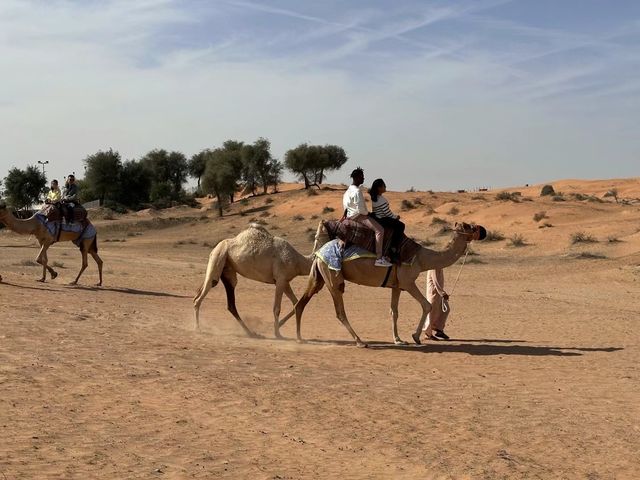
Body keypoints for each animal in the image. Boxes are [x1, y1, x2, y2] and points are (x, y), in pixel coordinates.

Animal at [278, 221, 484, 348]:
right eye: (468, 225)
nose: (482, 230)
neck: (422, 258)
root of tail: (318, 252)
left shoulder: (397, 285)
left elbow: (394, 311)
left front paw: (399, 340)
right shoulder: (408, 281)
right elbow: (427, 305)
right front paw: (415, 337)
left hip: (319, 276)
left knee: (301, 303)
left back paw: (297, 337)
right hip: (332, 277)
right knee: (339, 311)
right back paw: (360, 341)